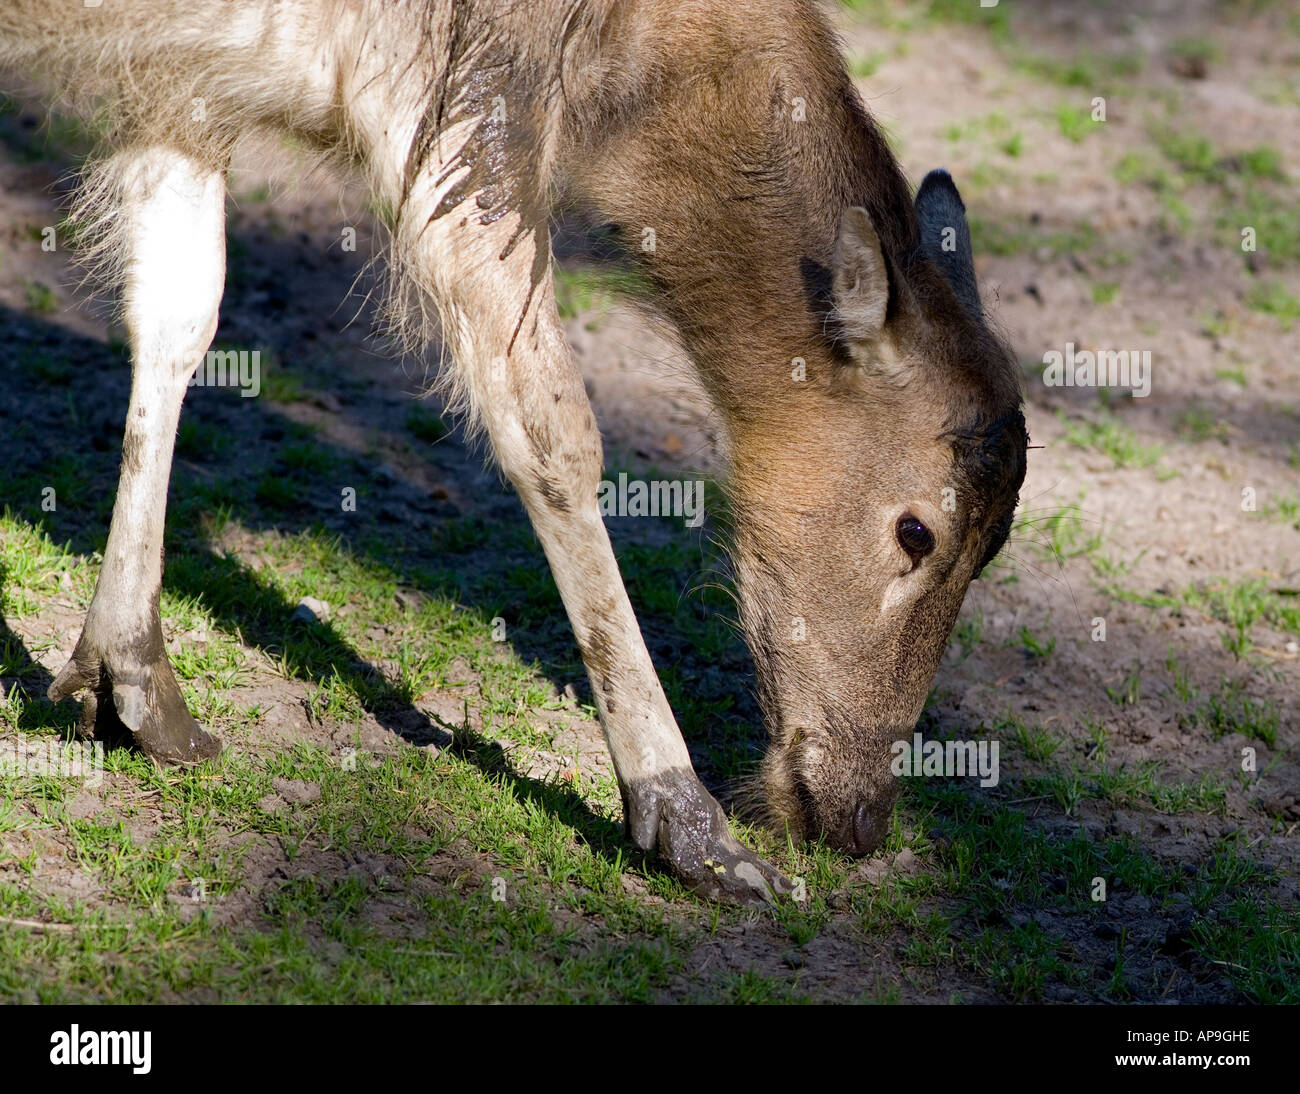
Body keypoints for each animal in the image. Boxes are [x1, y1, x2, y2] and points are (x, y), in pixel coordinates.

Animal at [0, 0, 1028, 905]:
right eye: (916, 531)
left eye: (996, 547)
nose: (859, 817)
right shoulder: (449, 106)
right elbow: (552, 426)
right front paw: (689, 828)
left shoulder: (183, 84)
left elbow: (178, 315)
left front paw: (132, 685)